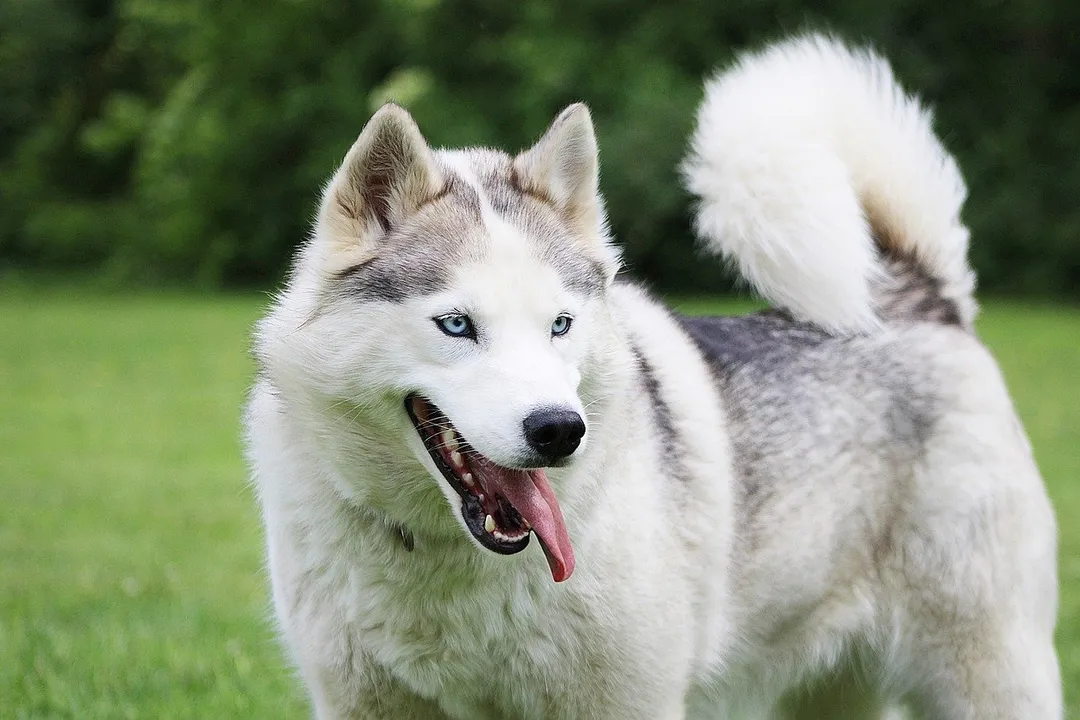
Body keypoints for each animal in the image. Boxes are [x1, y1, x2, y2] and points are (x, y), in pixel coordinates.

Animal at [245, 34, 1061, 719]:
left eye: (561, 324)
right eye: (456, 325)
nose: (559, 430)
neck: (449, 556)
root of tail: (916, 298)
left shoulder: (625, 700)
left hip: (988, 677)